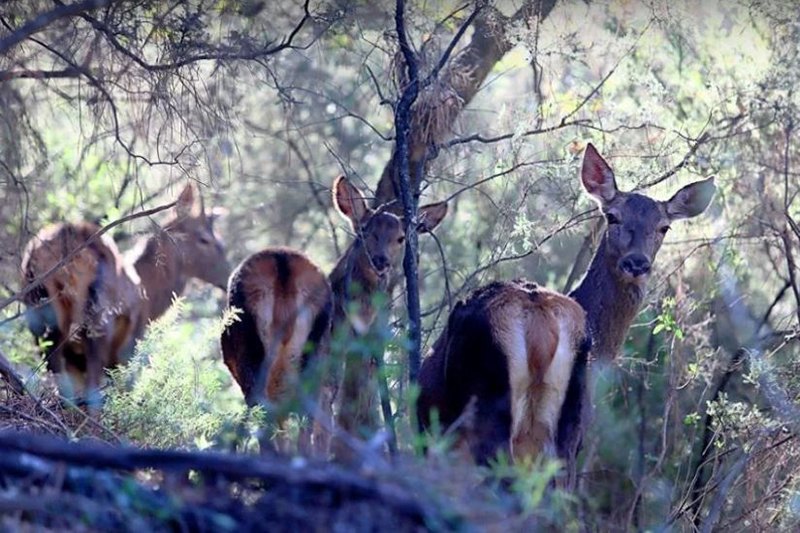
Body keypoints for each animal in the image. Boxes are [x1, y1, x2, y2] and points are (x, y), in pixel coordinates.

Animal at [21, 184, 228, 408]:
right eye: (205, 239)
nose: (228, 277)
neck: (150, 300)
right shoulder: (130, 347)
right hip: (98, 319)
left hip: (38, 311)